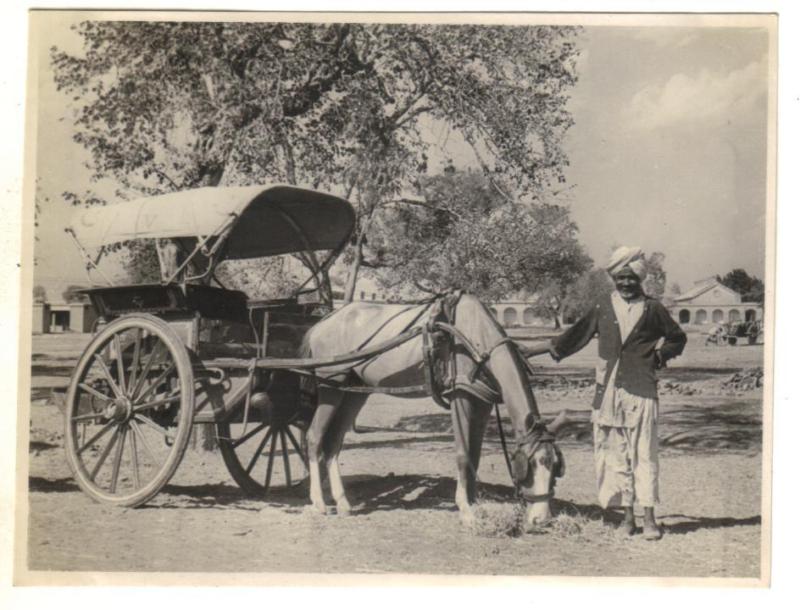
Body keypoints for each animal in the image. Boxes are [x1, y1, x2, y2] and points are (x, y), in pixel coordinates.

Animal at [300, 290, 568, 528]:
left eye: (556, 468)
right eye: (530, 467)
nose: (542, 520)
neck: (474, 337)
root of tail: (323, 322)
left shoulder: (481, 404)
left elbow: (475, 455)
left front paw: (473, 503)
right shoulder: (460, 399)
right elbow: (463, 455)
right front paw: (466, 511)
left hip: (353, 391)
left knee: (333, 442)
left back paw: (342, 503)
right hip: (331, 386)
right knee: (314, 437)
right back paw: (319, 502)